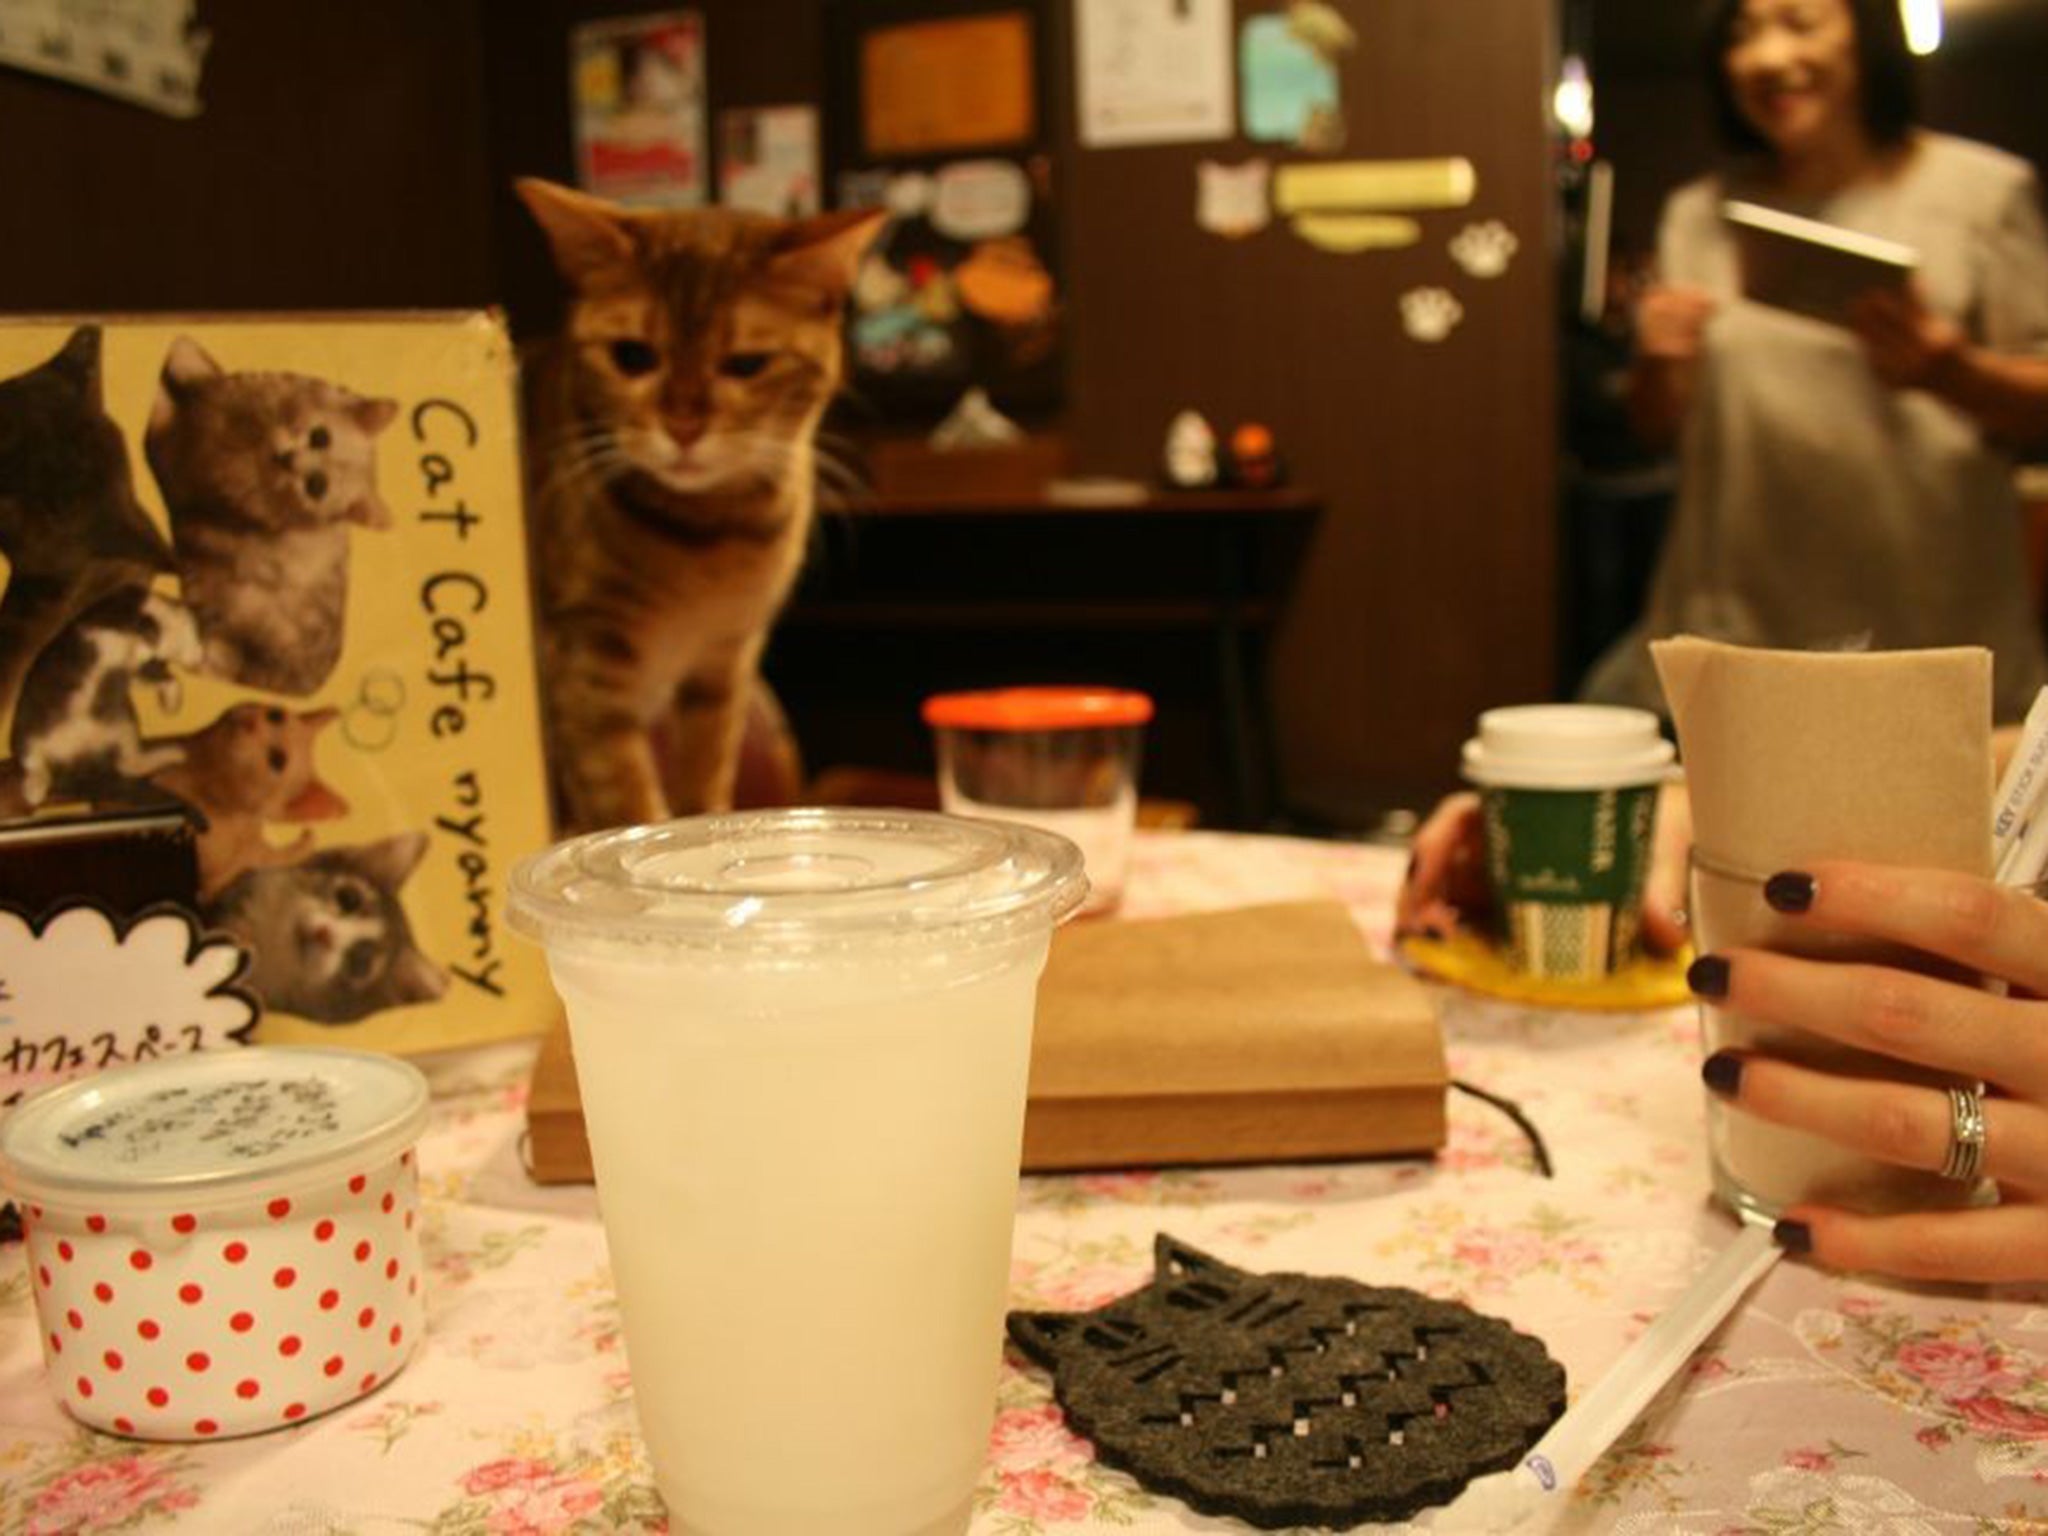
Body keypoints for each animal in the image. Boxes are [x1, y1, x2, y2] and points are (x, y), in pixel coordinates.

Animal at [512, 174, 880, 835]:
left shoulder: (724, 662)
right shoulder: (583, 661)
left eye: (746, 364)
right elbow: (625, 795)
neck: (710, 538)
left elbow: (705, 777)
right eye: (632, 356)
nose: (683, 428)